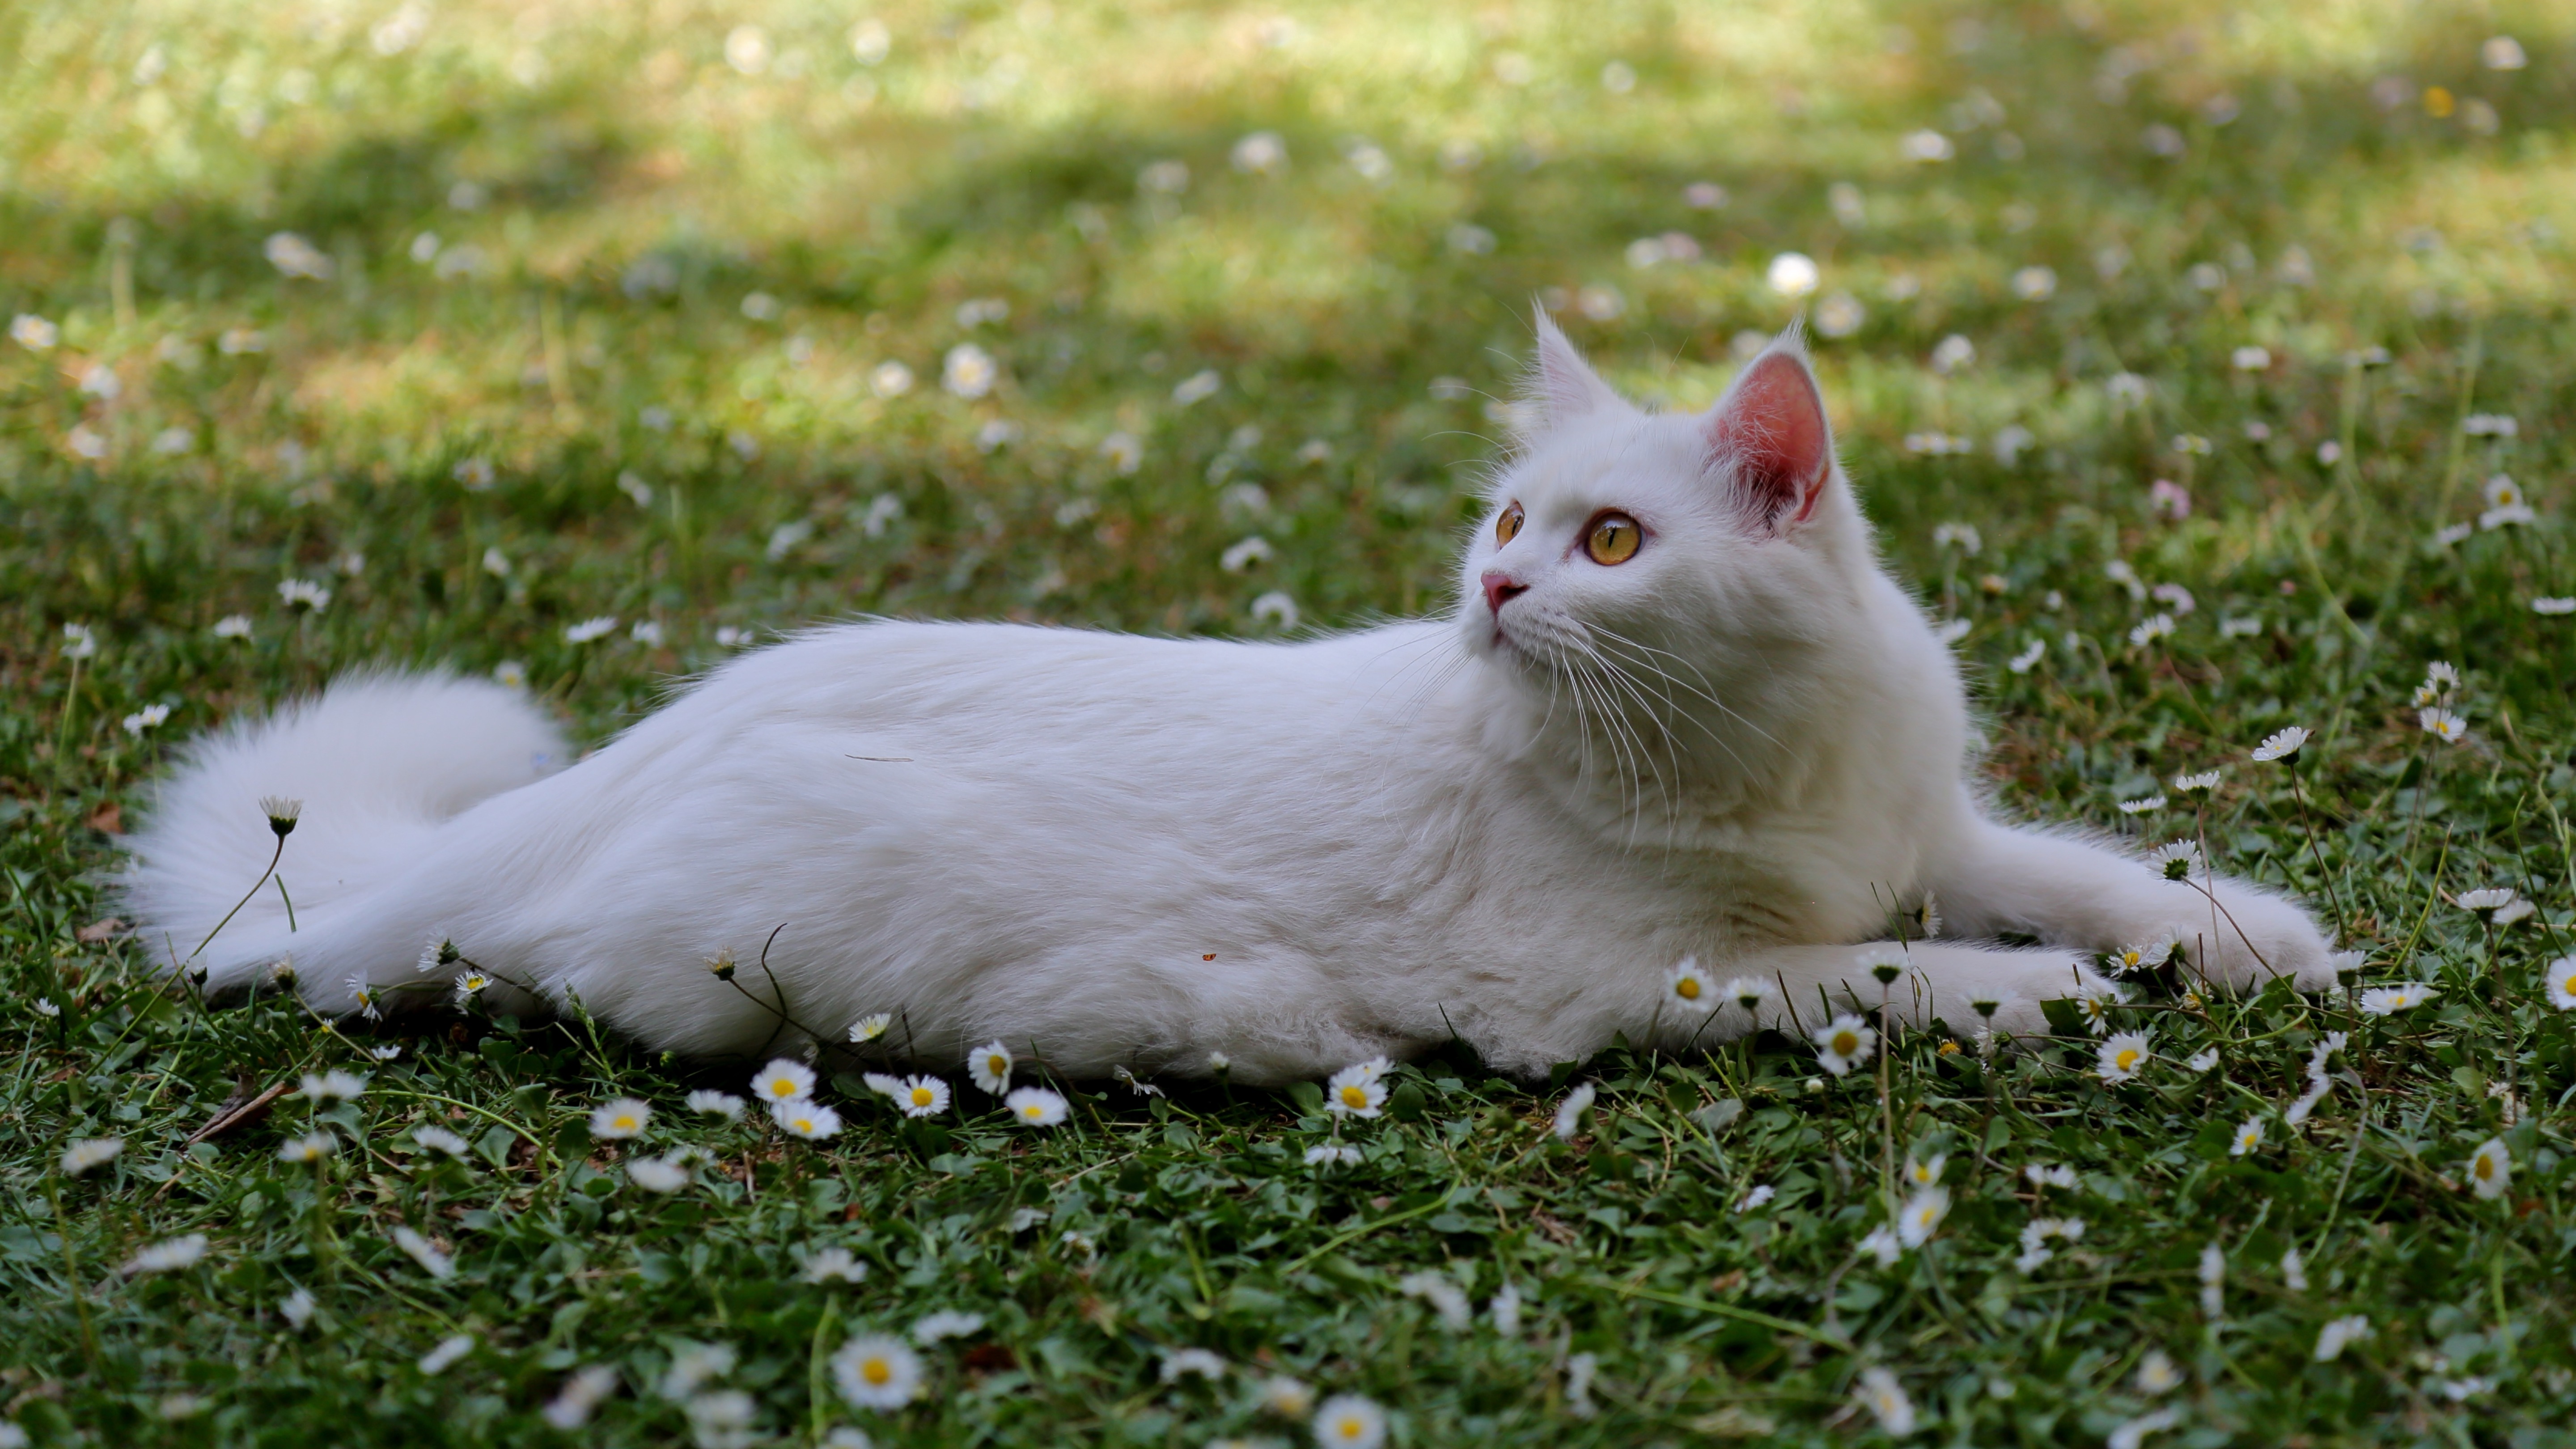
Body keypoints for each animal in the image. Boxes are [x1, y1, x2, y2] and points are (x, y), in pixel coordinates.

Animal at [121, 321, 2339, 1077]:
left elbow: (2084, 873)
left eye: (1610, 541)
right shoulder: (1623, 983)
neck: (1761, 753)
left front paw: (2244, 940)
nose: (1497, 590)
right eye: (1510, 524)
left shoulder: (1930, 827)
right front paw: (2041, 999)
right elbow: (1883, 969)